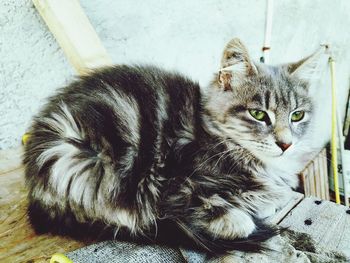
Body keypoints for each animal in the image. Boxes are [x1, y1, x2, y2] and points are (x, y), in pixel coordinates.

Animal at [23, 38, 326, 255]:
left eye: (297, 115)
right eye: (259, 114)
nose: (286, 144)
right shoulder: (173, 186)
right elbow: (221, 210)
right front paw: (242, 217)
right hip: (84, 162)